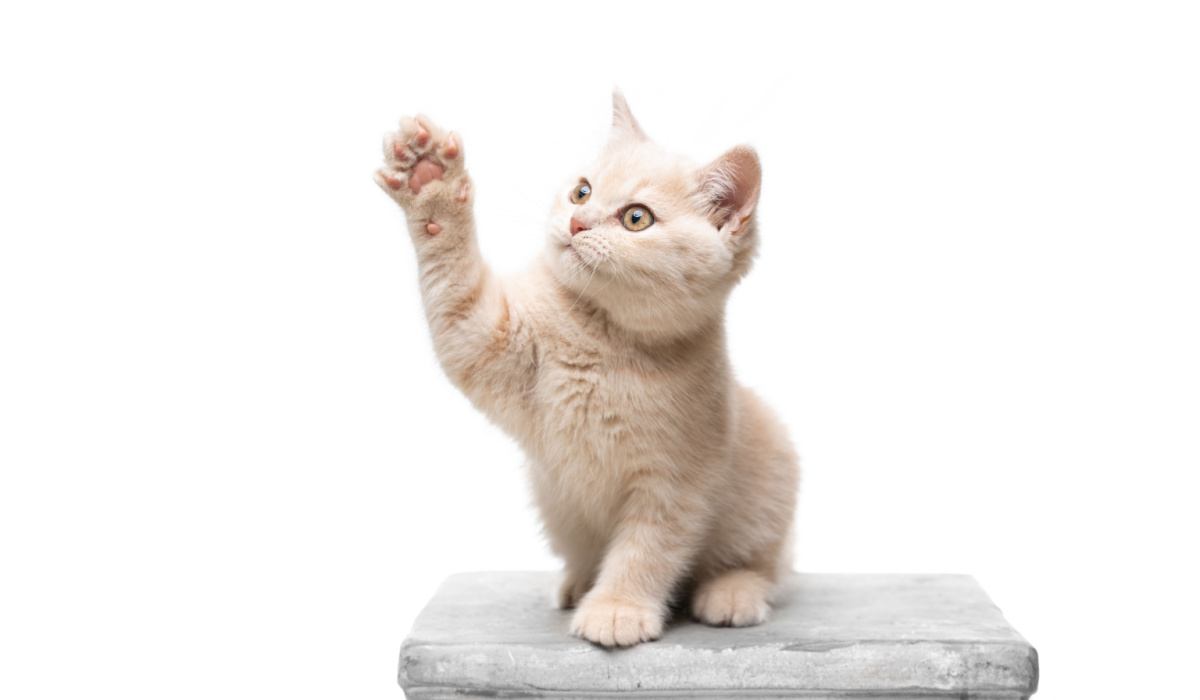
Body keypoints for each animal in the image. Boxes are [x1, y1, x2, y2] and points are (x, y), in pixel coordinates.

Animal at [376, 93, 796, 653]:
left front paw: (617, 609)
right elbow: (456, 285)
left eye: (636, 218)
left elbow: (647, 551)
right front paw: (430, 181)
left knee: (766, 565)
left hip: (772, 479)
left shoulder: (677, 483)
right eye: (582, 191)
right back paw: (577, 582)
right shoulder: (480, 337)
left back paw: (732, 593)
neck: (599, 338)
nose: (578, 223)